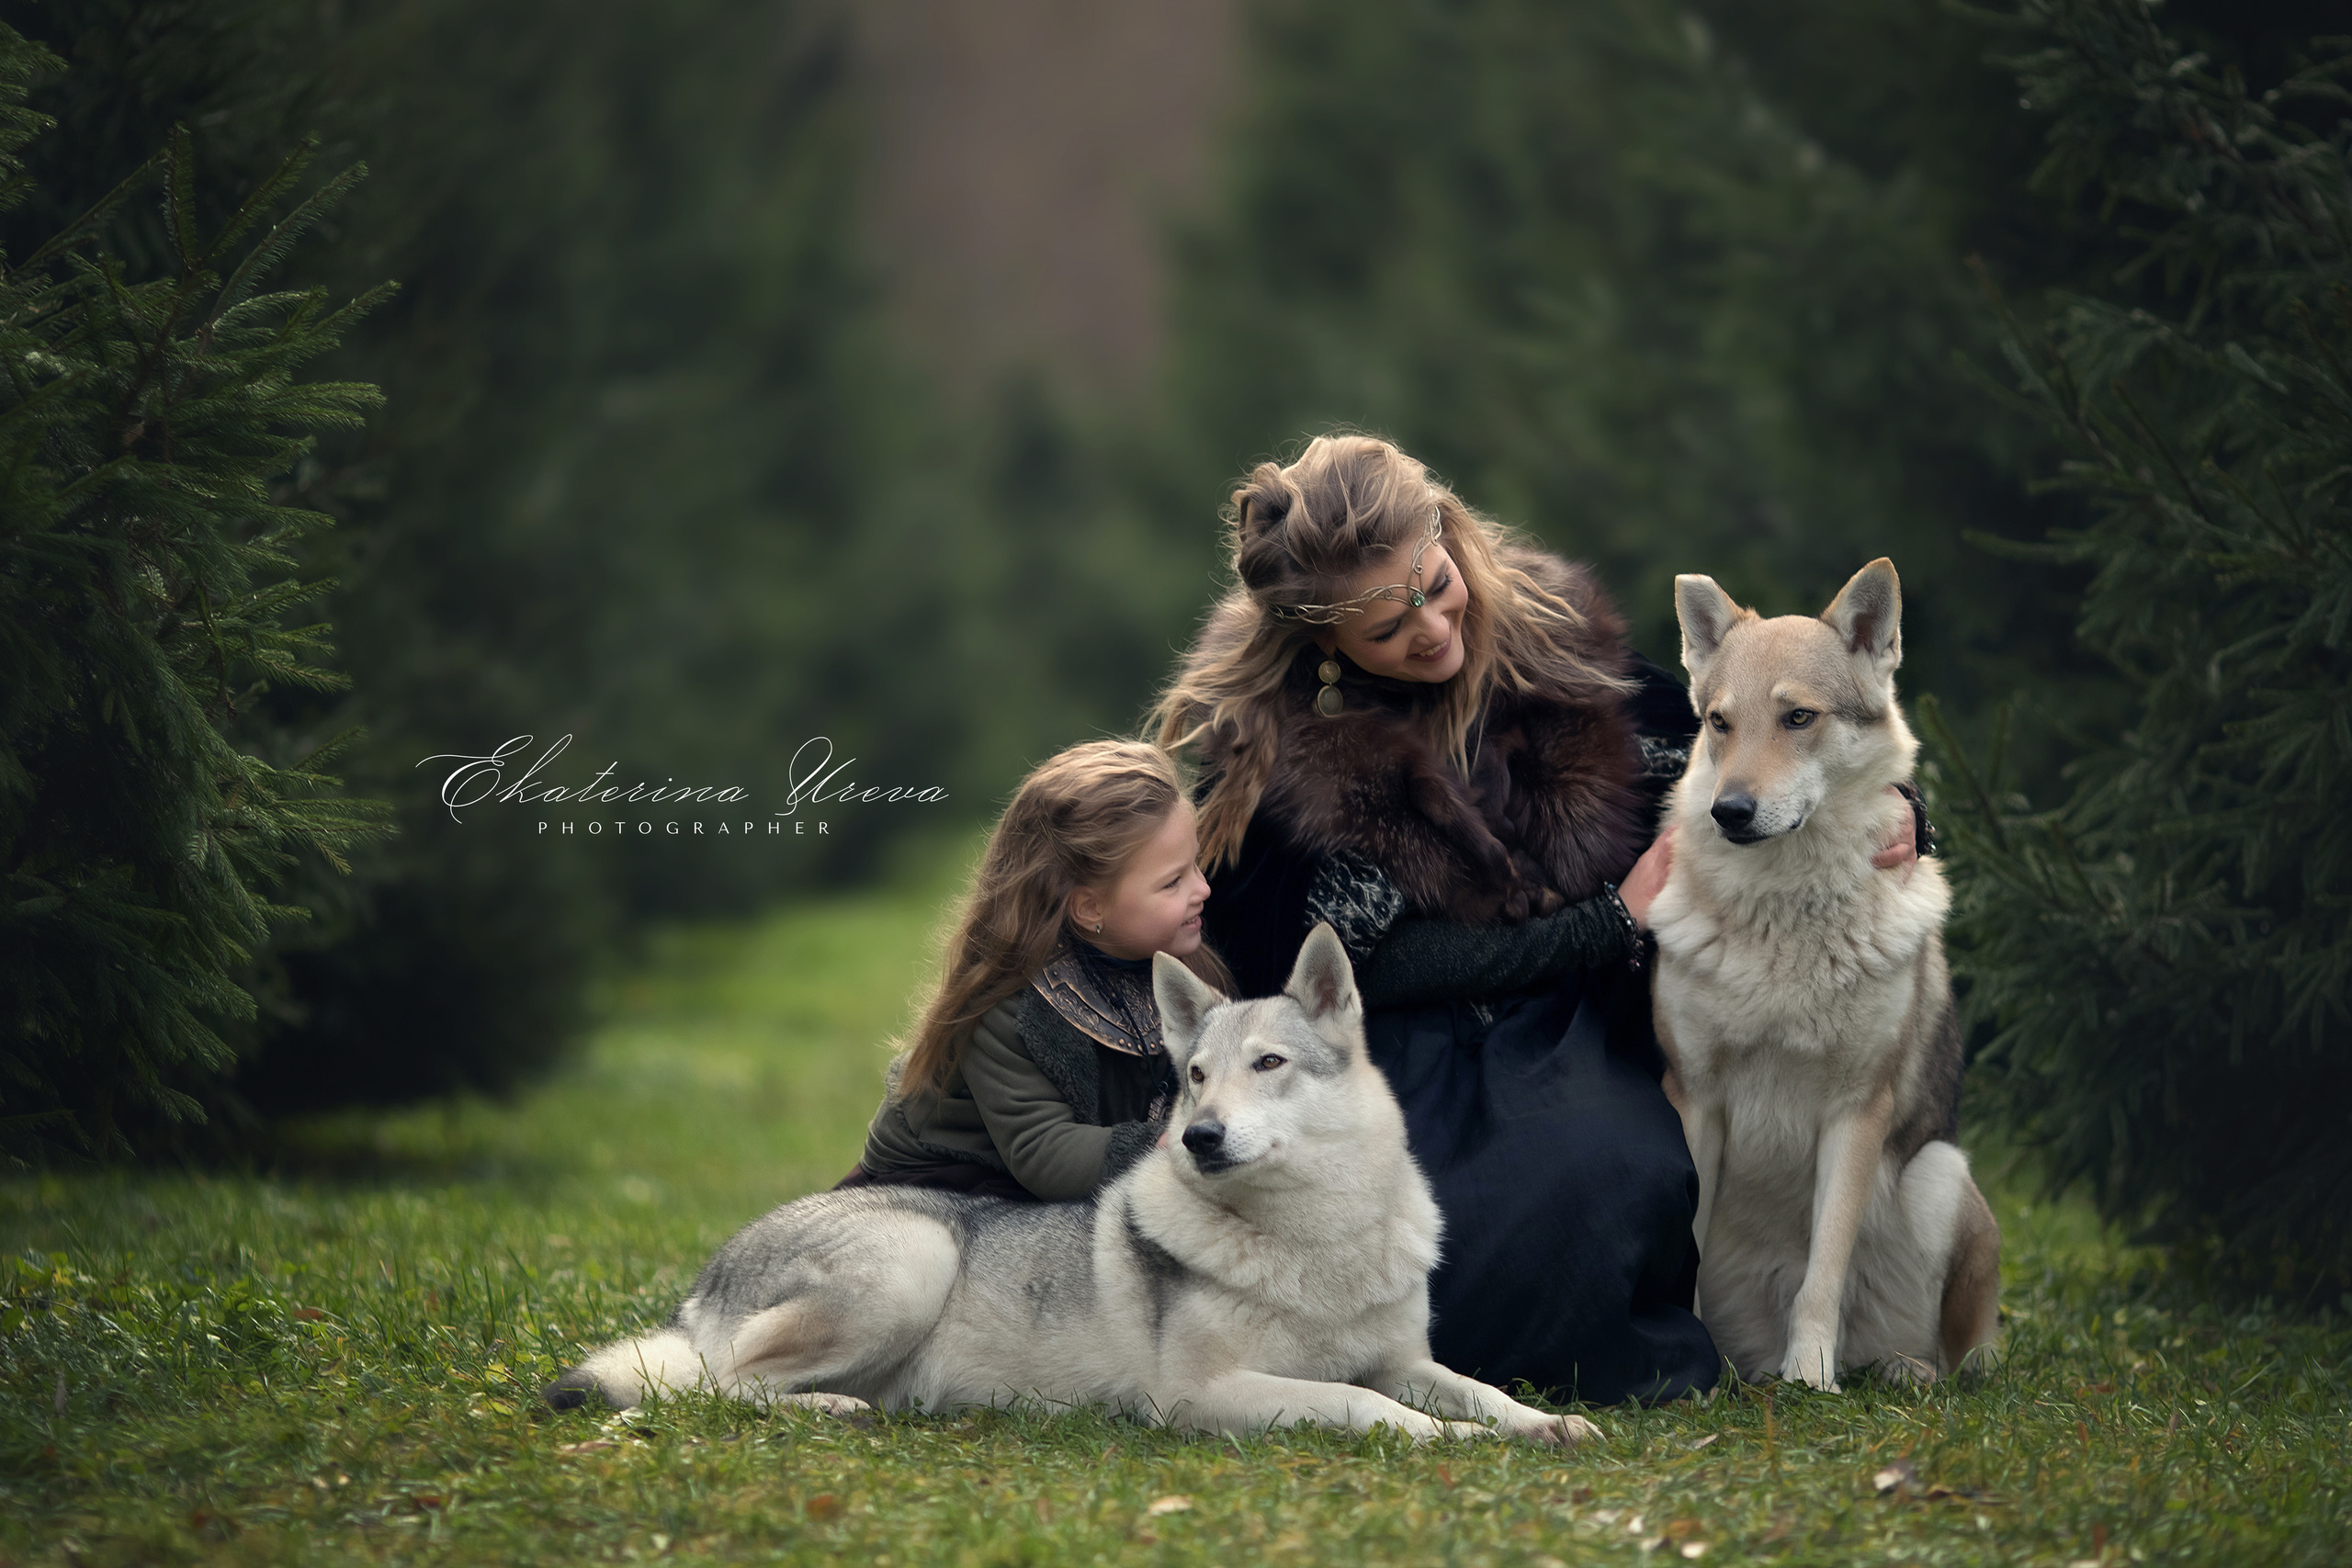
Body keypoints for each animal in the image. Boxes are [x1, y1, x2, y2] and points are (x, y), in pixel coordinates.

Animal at [545, 924, 1595, 1446]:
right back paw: (833, 1412)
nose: (1198, 1137)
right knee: (714, 1388)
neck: (1314, 1236)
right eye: (1194, 1077)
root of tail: (703, 1282)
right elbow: (1370, 1409)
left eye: (1268, 1064)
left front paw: (1551, 1423)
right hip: (913, 1260)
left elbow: (1478, 1389)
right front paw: (1449, 1442)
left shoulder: (1403, 1358)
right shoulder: (1204, 1395)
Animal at [1646, 558, 2000, 1391]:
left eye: (1798, 718)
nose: (1730, 811)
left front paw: (1810, 1375)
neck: (1786, 911)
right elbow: (1688, 1253)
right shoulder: (1695, 1099)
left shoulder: (1855, 1112)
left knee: (1956, 1358)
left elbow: (1823, 1272)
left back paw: (1899, 1370)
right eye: (1720, 722)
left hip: (1942, 1173)